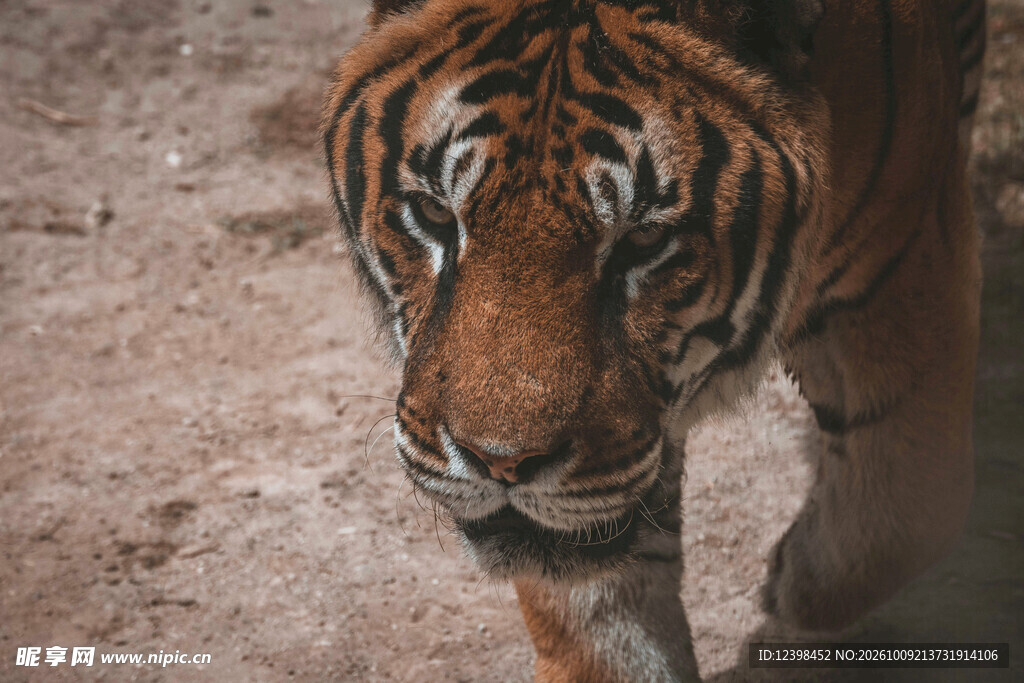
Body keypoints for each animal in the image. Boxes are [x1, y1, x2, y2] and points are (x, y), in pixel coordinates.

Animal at [323, 0, 984, 679]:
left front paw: (791, 585)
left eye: (643, 240)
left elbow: (911, 506)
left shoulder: (901, 259)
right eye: (434, 214)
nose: (500, 464)